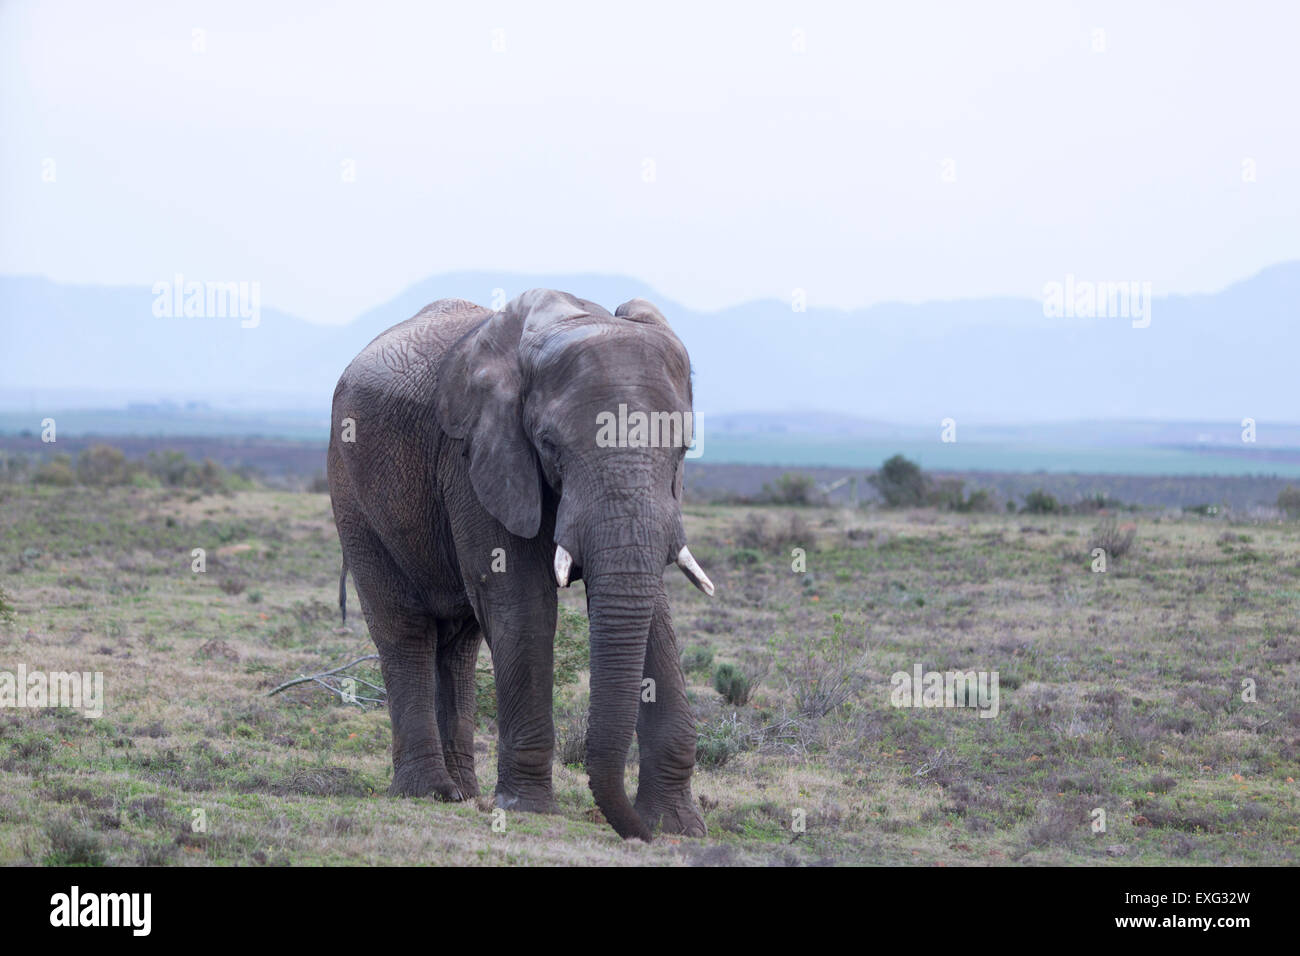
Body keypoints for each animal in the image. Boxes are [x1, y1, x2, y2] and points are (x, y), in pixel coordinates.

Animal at [325, 287, 712, 842]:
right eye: (549, 444)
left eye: (682, 448)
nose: (635, 831)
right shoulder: (473, 457)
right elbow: (522, 600)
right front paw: (529, 810)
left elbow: (652, 606)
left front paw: (679, 827)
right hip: (350, 488)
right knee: (404, 630)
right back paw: (428, 793)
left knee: (458, 644)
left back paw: (462, 793)